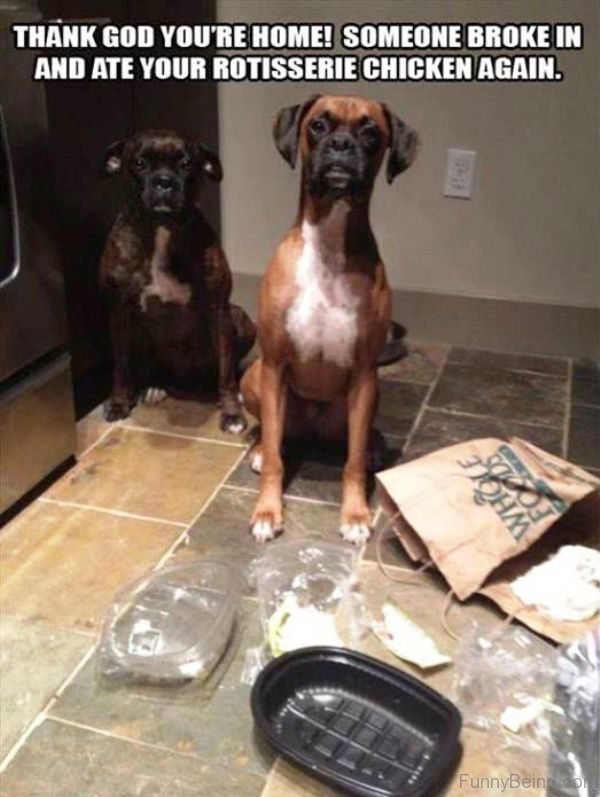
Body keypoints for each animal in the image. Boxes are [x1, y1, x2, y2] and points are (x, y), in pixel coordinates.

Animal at [99, 131, 254, 432]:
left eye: (185, 163)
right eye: (139, 163)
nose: (164, 181)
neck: (161, 231)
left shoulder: (220, 309)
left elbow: (226, 370)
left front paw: (232, 413)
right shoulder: (118, 311)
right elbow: (121, 366)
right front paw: (119, 403)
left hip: (239, 317)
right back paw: (153, 387)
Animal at [241, 93, 420, 540]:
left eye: (371, 132)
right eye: (318, 126)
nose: (341, 144)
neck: (328, 242)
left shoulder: (365, 373)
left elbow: (351, 463)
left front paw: (355, 514)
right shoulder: (274, 364)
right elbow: (276, 459)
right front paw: (267, 511)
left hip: (372, 393)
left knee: (359, 438)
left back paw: (374, 447)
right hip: (255, 377)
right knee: (271, 433)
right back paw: (258, 447)